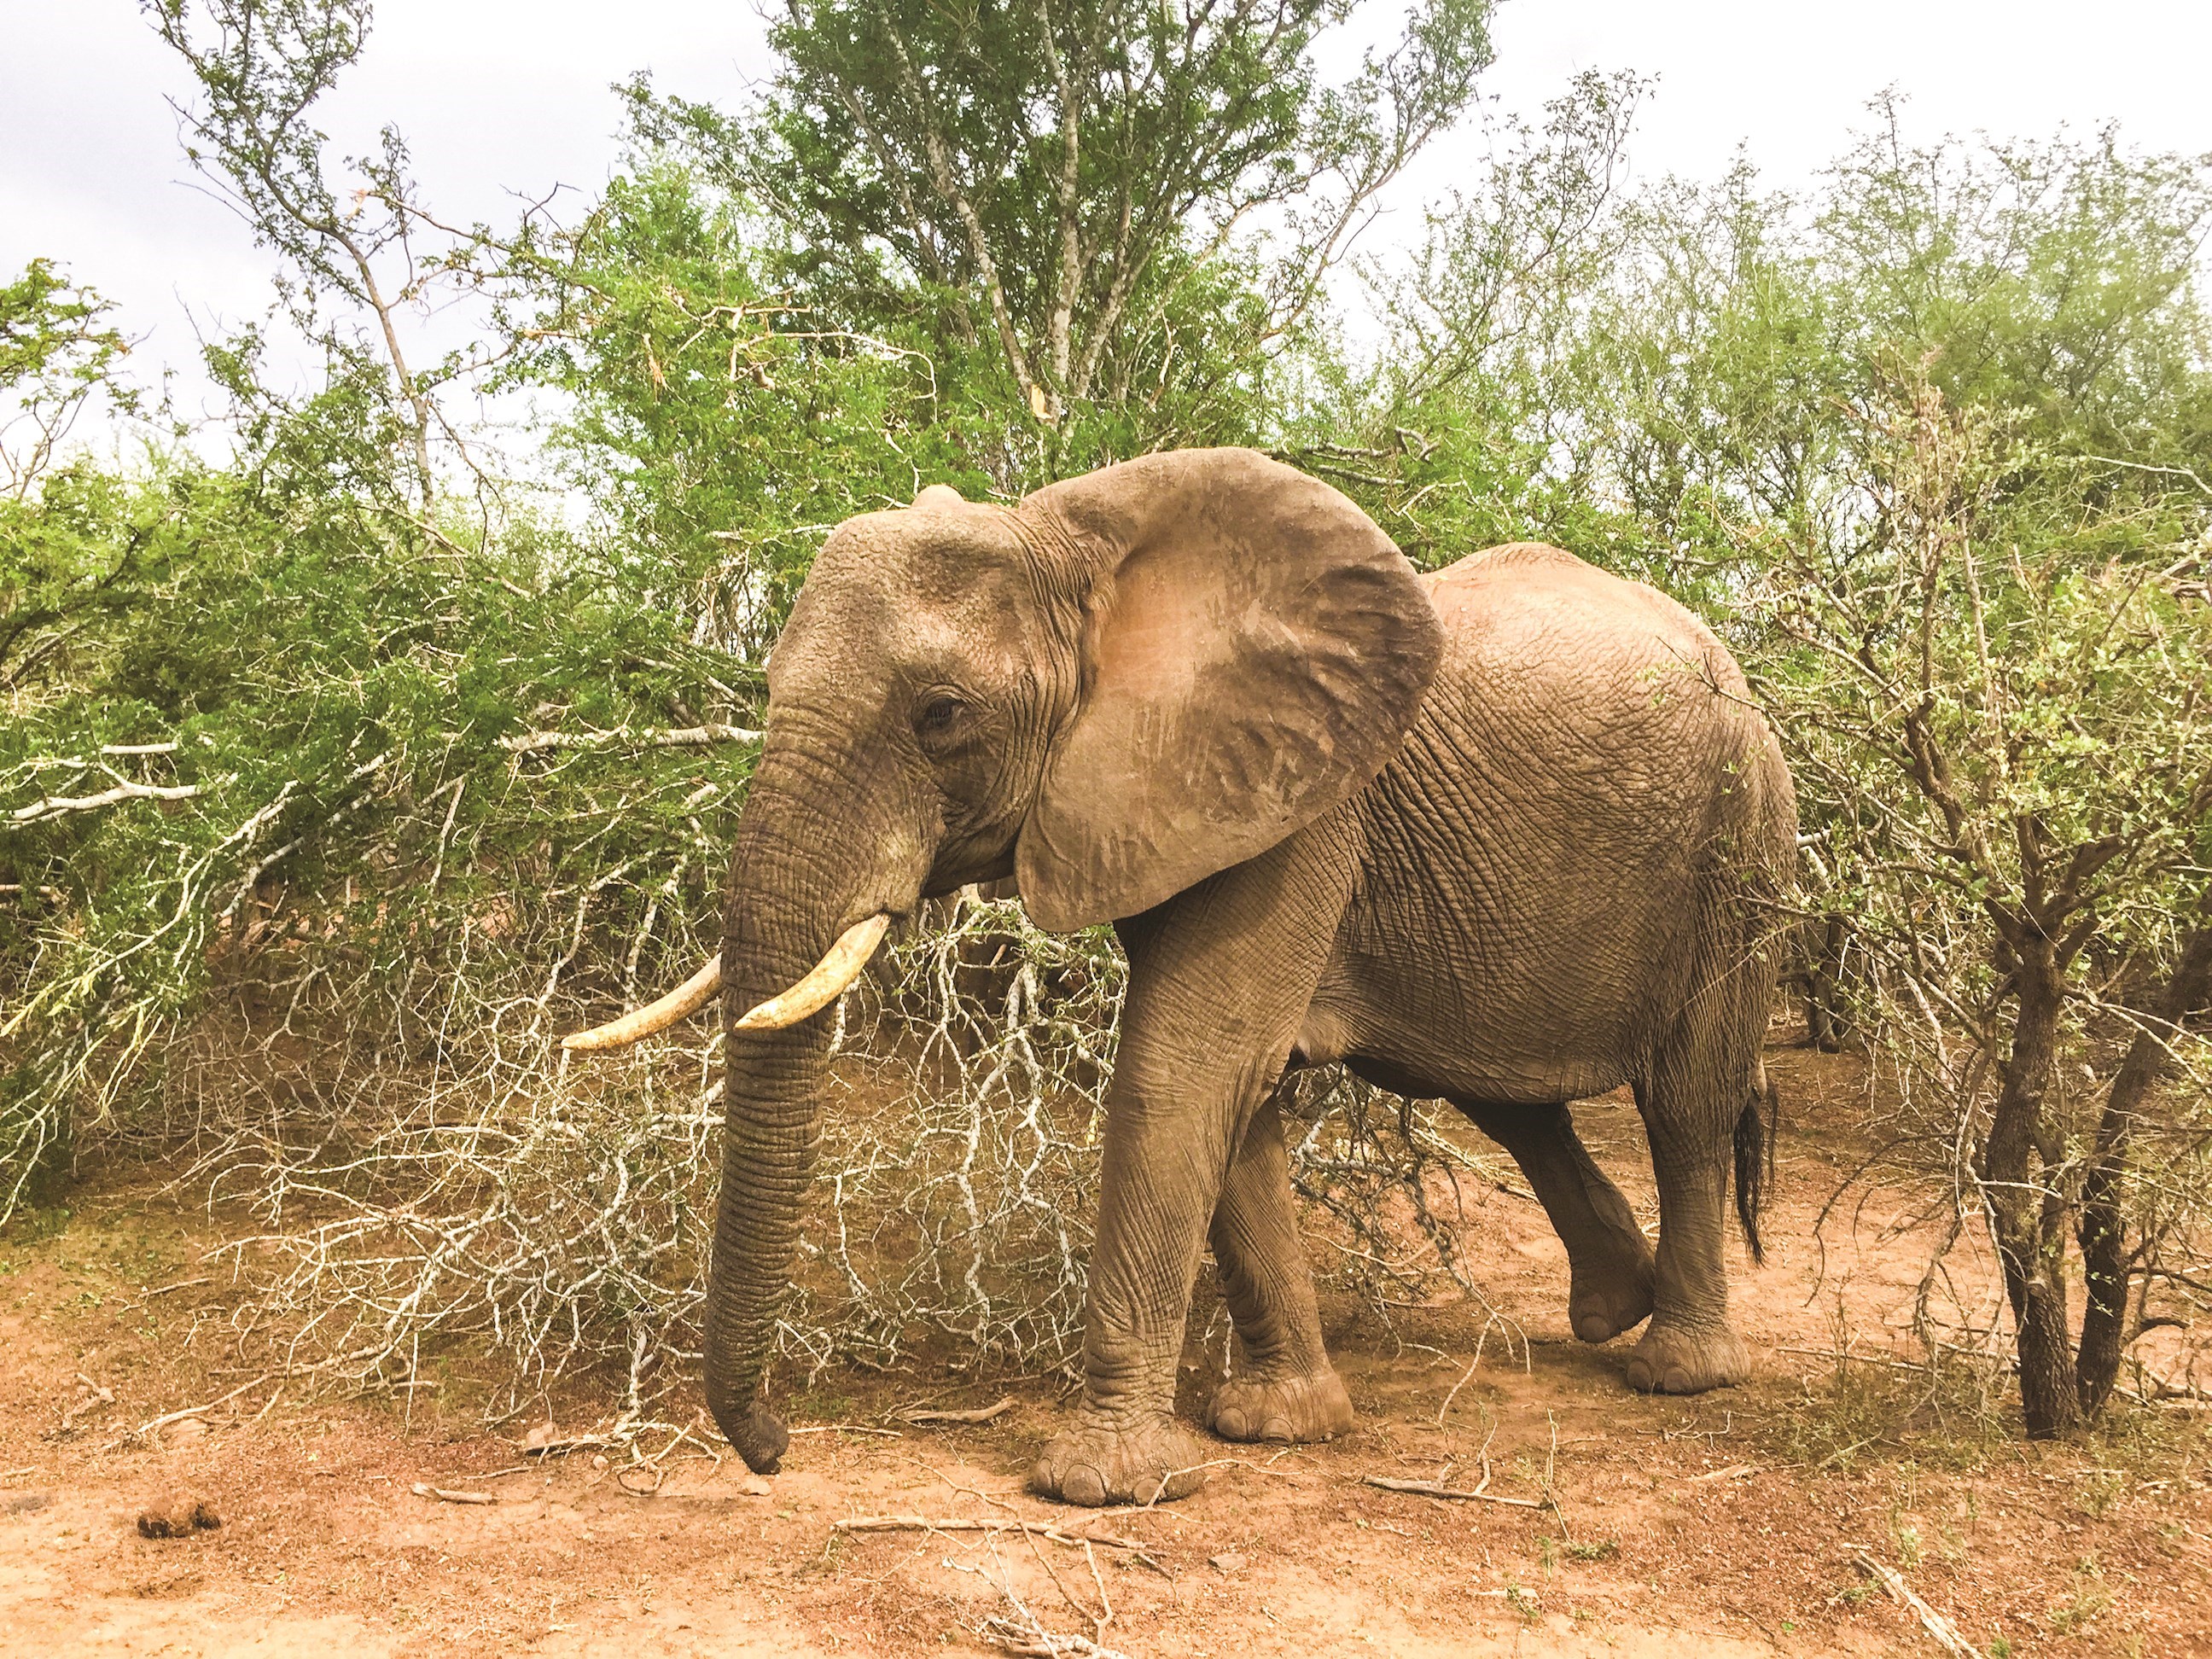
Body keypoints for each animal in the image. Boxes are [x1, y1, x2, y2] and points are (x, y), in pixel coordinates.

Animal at [564, 447, 1798, 1508]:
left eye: (942, 715)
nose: (776, 1446)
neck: (1075, 552)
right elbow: (1233, 1093)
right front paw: (1279, 1428)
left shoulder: (1302, 809)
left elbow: (1184, 1069)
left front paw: (1103, 1486)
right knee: (1504, 1096)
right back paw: (1613, 1308)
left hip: (1743, 845)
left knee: (1686, 1101)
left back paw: (1675, 1369)